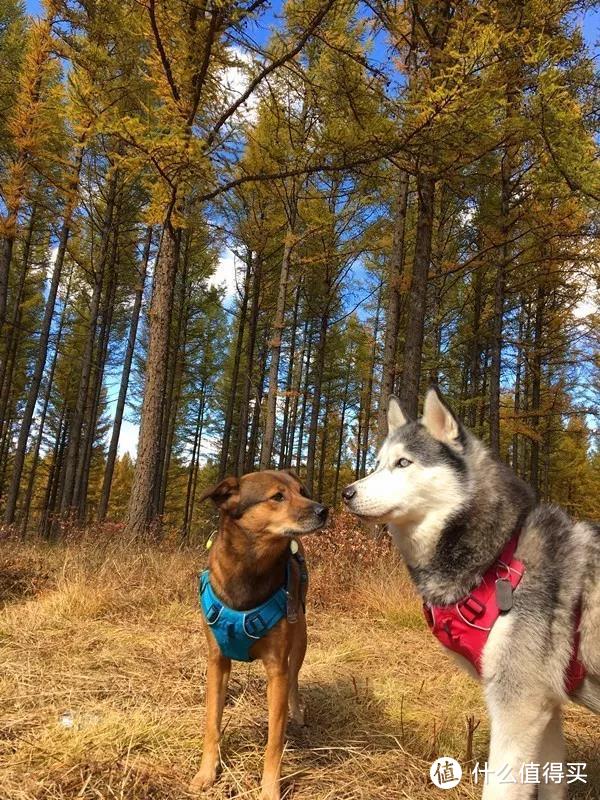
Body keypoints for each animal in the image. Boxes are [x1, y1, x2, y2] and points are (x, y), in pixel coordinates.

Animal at [191, 468, 328, 800]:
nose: (323, 510)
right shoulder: (217, 661)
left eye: (302, 491)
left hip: (300, 640)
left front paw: (269, 789)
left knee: (294, 681)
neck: (250, 568)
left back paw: (298, 715)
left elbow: (274, 740)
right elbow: (212, 723)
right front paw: (206, 773)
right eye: (277, 496)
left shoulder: (277, 668)